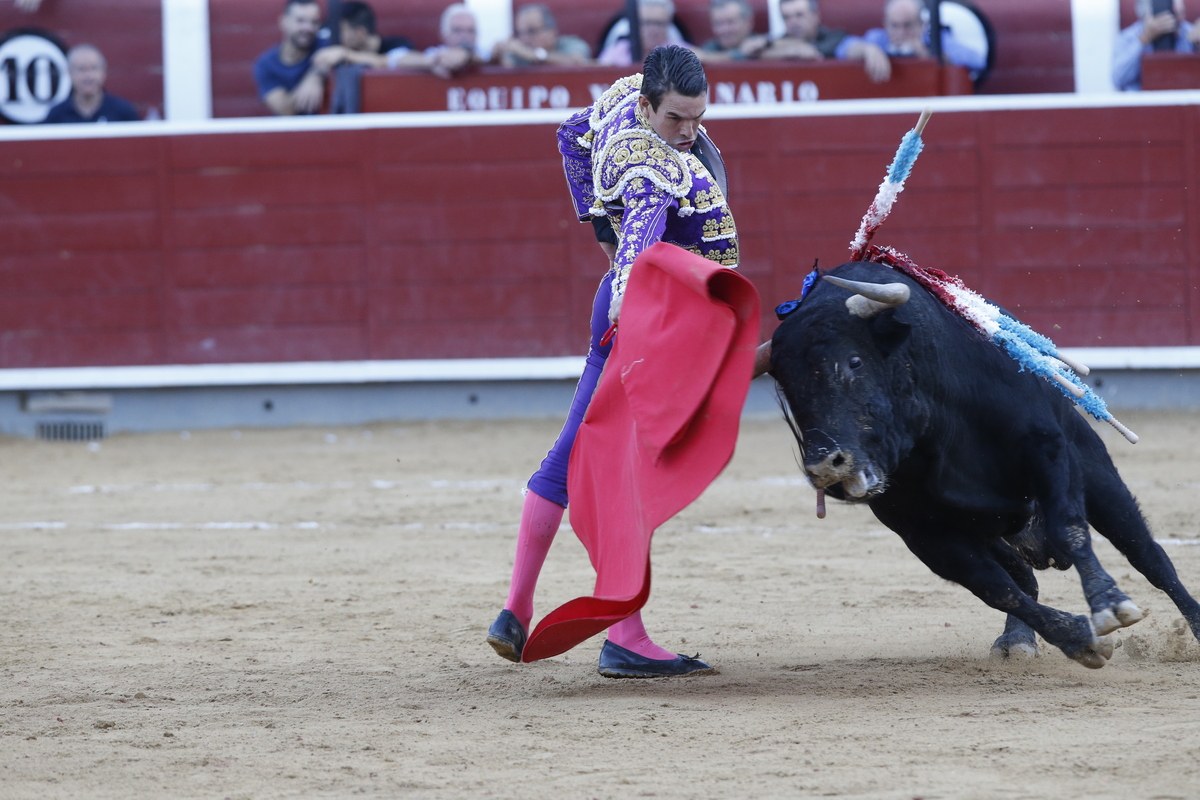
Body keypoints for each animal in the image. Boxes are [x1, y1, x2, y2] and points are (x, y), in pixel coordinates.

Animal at [768, 262, 1200, 671]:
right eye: (785, 384)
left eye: (854, 361)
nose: (826, 466)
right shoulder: (921, 531)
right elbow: (996, 589)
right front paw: (1080, 639)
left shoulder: (1048, 451)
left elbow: (1071, 529)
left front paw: (1108, 605)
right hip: (988, 529)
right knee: (1022, 576)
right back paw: (1017, 640)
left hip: (1095, 473)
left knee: (1148, 555)